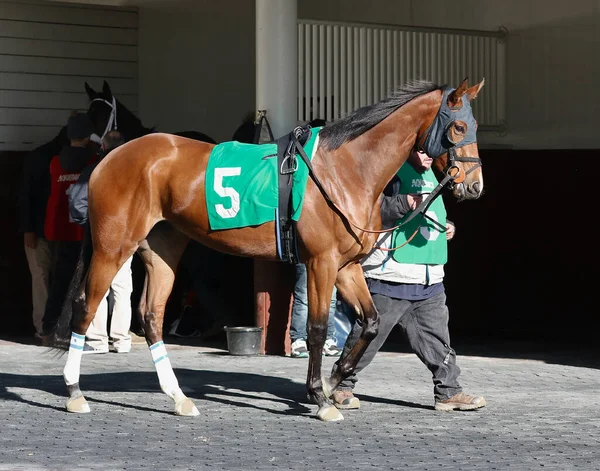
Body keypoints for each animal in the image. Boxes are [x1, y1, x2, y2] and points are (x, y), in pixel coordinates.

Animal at [49, 77, 486, 424]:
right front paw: (320, 398)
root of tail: (108, 159)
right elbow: (316, 329)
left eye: (476, 125)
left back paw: (179, 399)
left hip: (162, 250)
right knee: (86, 306)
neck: (343, 169)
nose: (473, 186)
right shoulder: (321, 263)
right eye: (459, 126)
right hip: (112, 247)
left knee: (152, 315)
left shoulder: (346, 267)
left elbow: (372, 322)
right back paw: (75, 393)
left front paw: (337, 378)